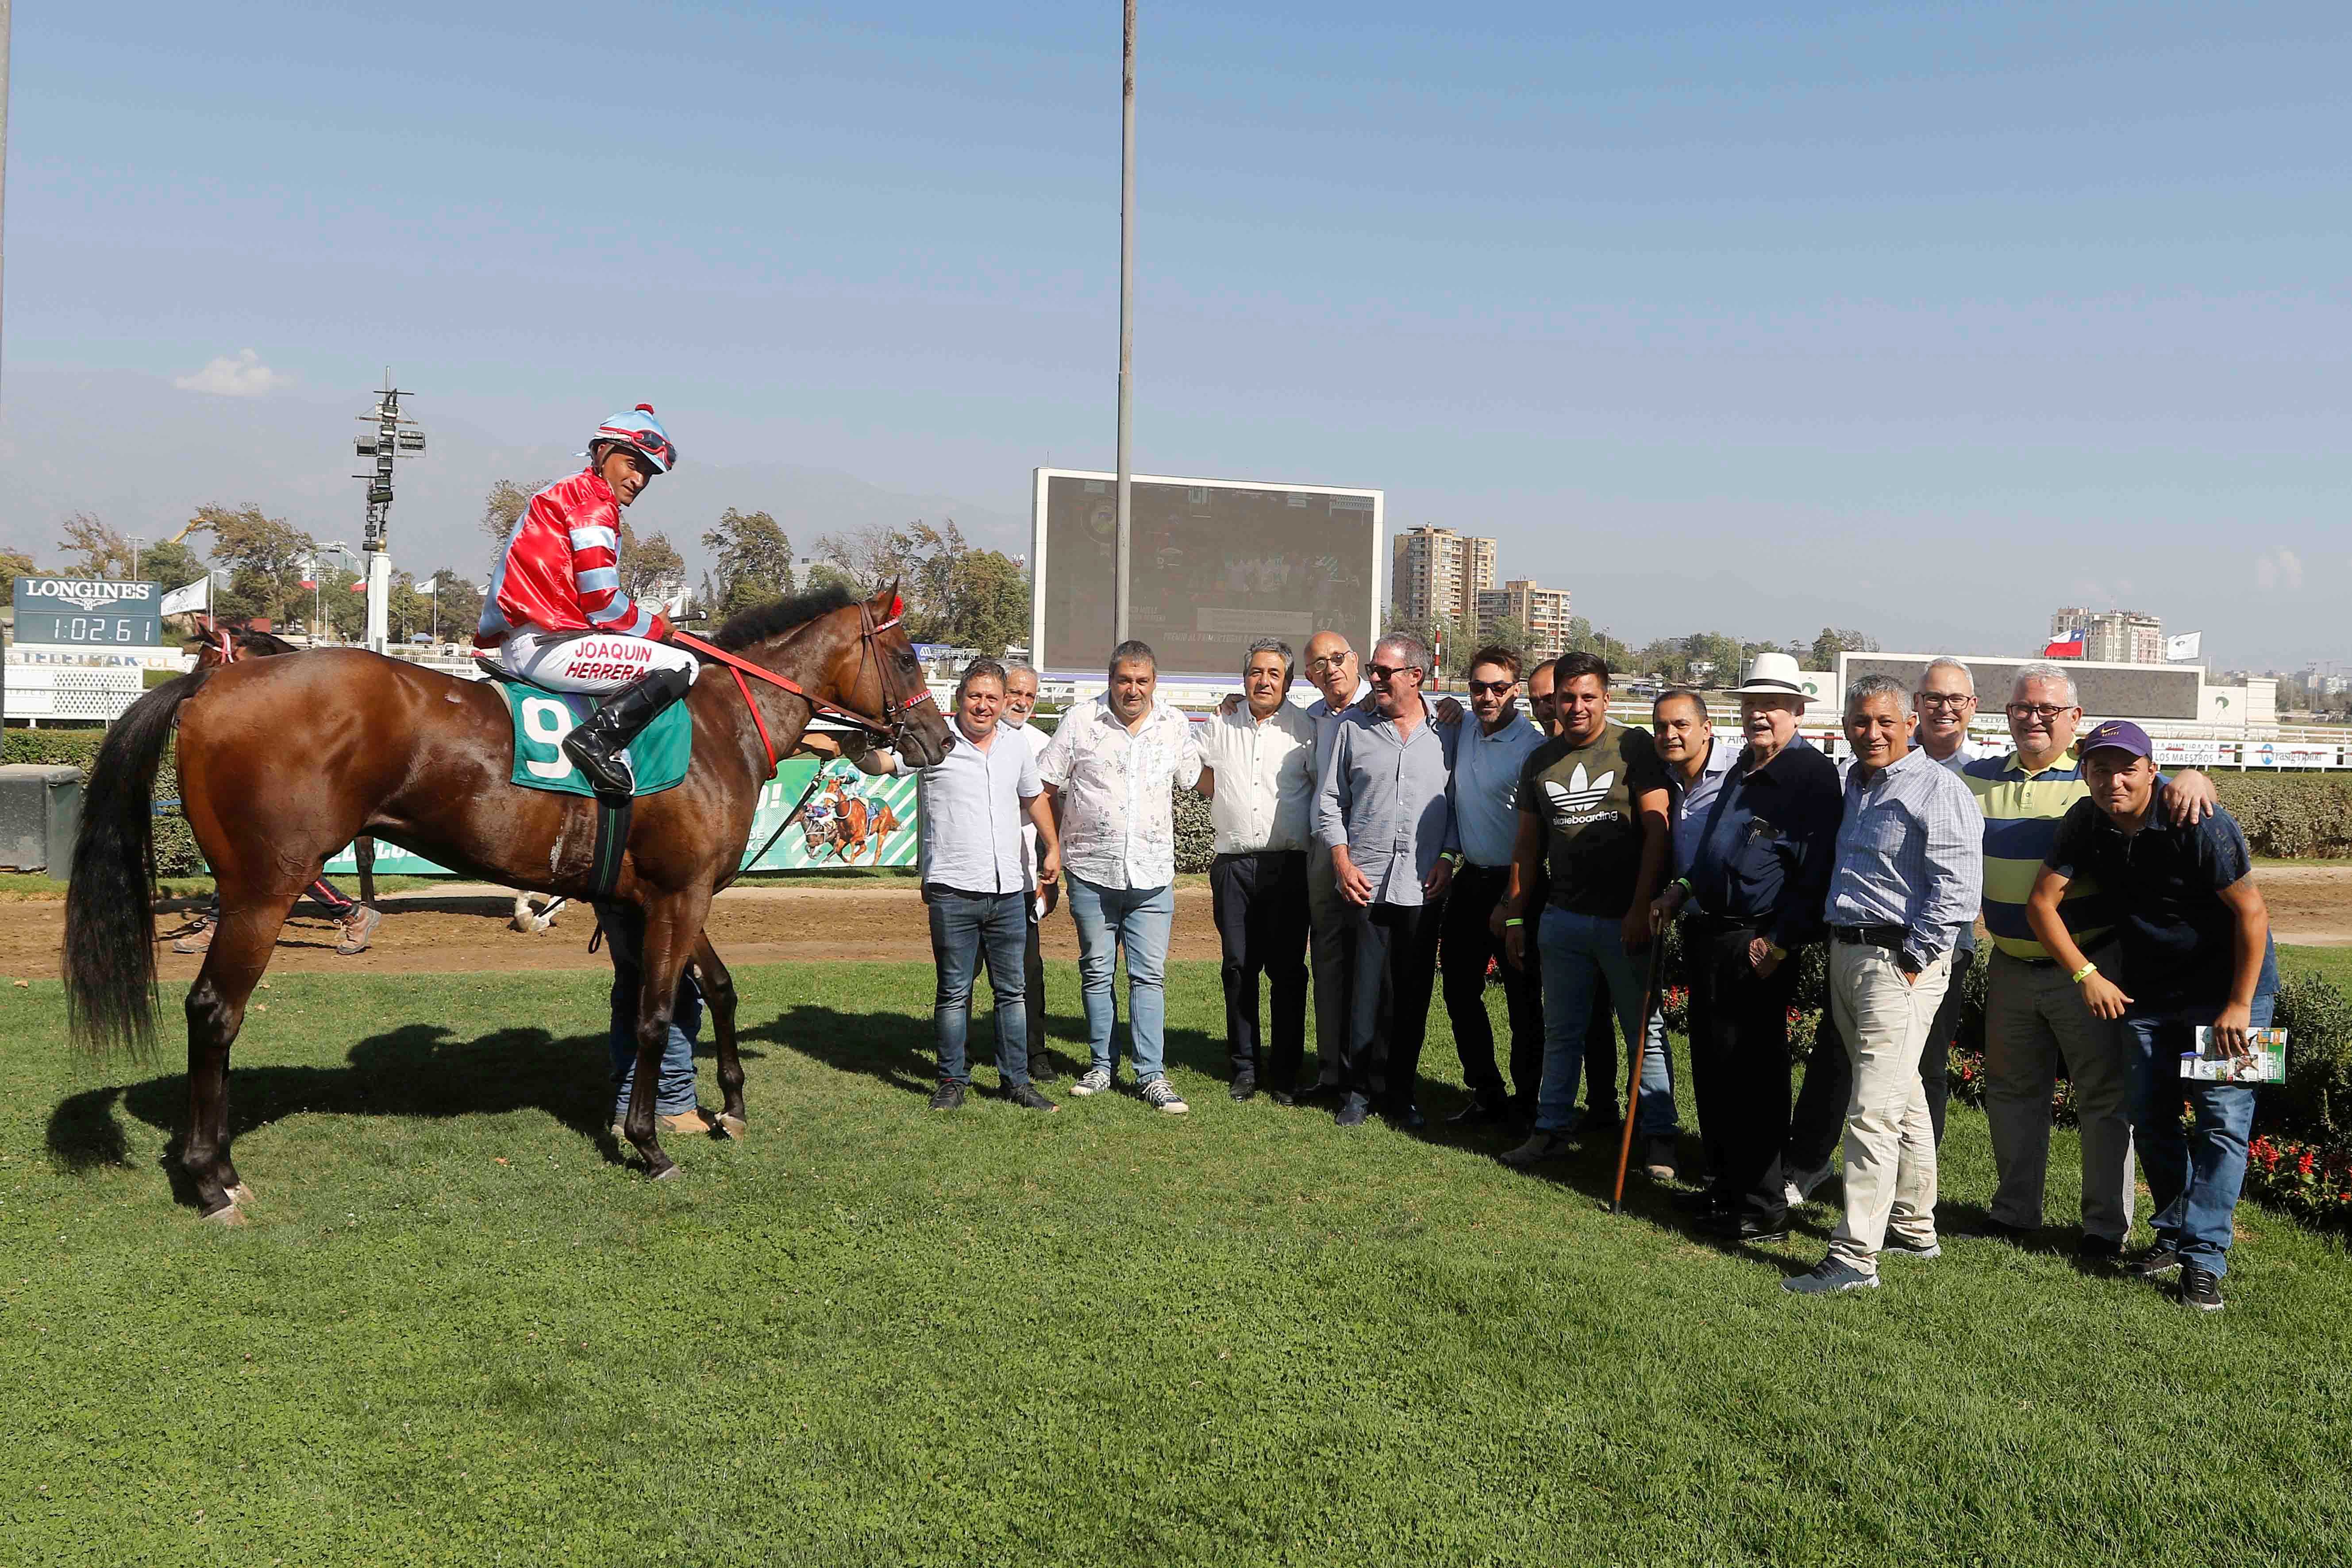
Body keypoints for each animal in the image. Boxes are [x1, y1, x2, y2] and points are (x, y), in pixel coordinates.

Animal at [62, 583, 945, 1222]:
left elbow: (719, 990)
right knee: (215, 1010)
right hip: (263, 886)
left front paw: (730, 1105)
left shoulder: (665, 893)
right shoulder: (680, 894)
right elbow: (657, 1018)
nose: (937, 740)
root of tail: (212, 681)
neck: (718, 726)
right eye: (906, 657)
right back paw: (213, 1178)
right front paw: (649, 1145)